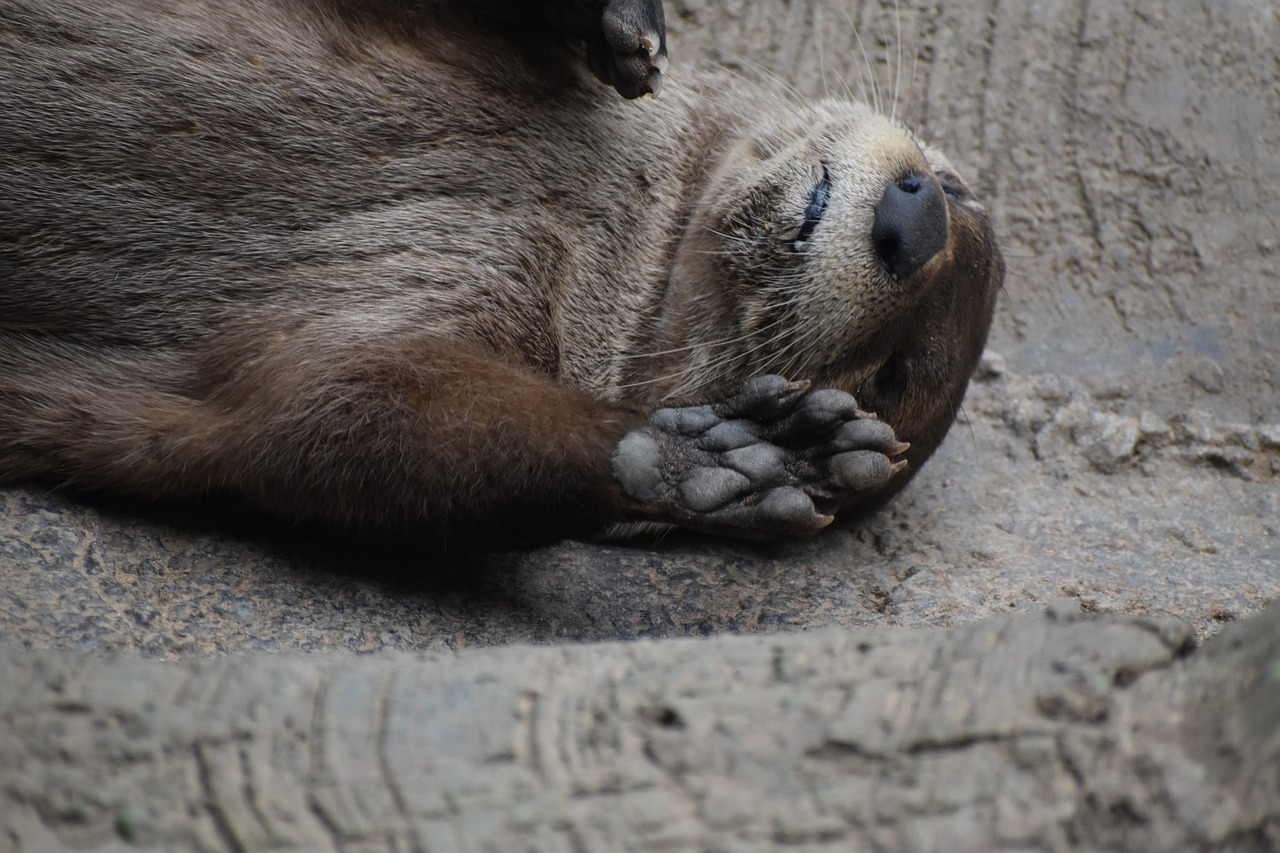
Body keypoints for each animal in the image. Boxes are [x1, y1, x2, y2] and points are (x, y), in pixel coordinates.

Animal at [0, 0, 998, 545]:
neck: (596, 207)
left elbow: (337, 418)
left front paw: (734, 455)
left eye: (889, 374)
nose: (915, 218)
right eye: (956, 186)